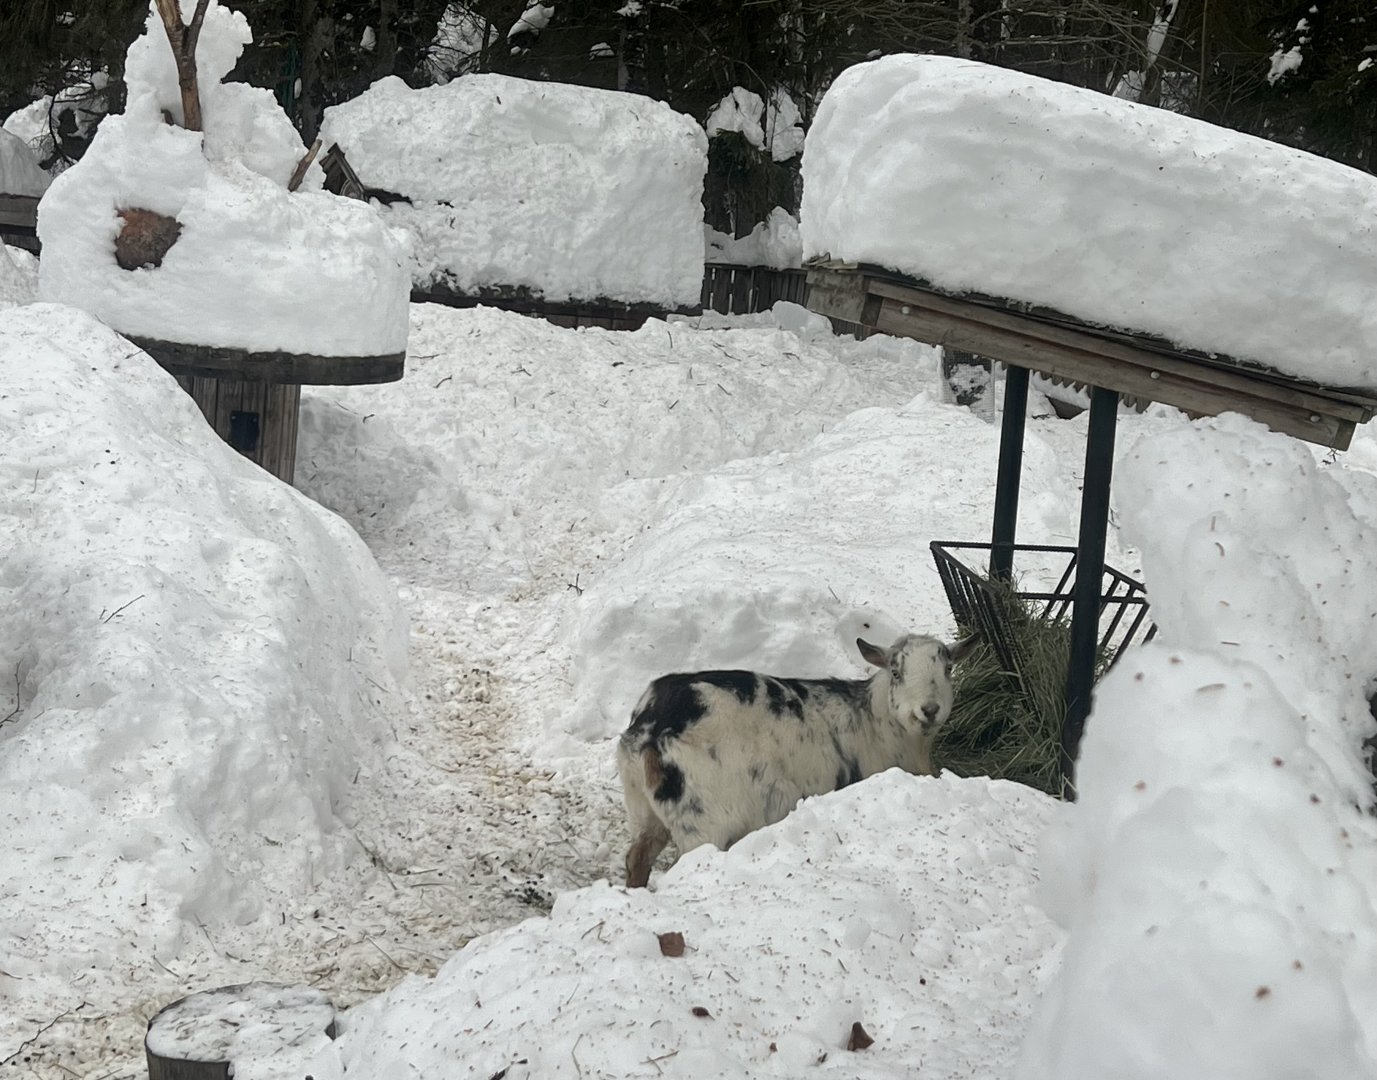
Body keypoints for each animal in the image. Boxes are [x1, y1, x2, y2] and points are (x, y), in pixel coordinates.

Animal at [616, 632, 977, 888]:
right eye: (896, 671)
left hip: (644, 810)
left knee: (637, 858)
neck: (875, 722)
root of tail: (648, 727)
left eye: (948, 669)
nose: (929, 710)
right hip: (703, 819)